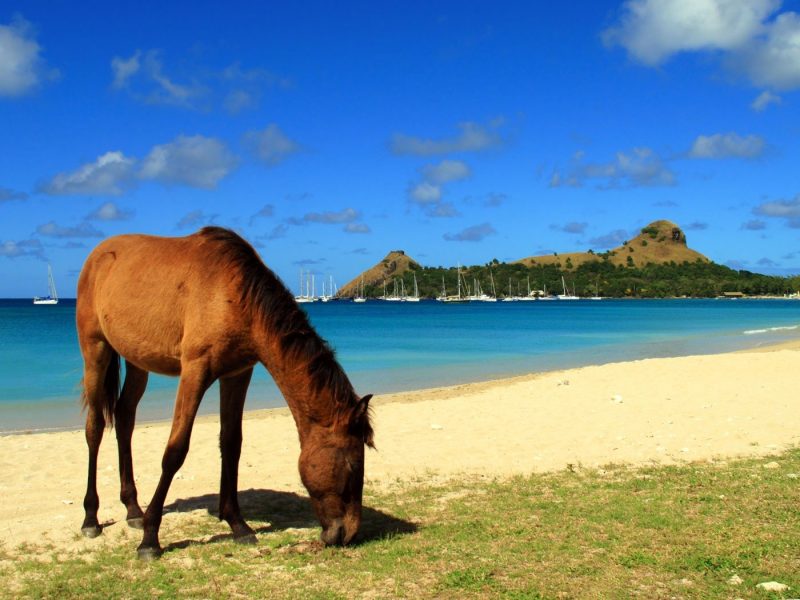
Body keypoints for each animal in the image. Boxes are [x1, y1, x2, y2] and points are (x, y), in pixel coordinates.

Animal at [76, 227, 376, 560]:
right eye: (353, 465)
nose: (347, 533)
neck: (235, 295)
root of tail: (98, 254)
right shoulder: (195, 372)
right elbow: (175, 451)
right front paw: (150, 539)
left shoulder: (237, 374)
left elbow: (232, 444)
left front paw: (237, 524)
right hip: (95, 350)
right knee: (95, 428)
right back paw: (91, 518)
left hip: (137, 362)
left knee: (125, 418)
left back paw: (132, 509)